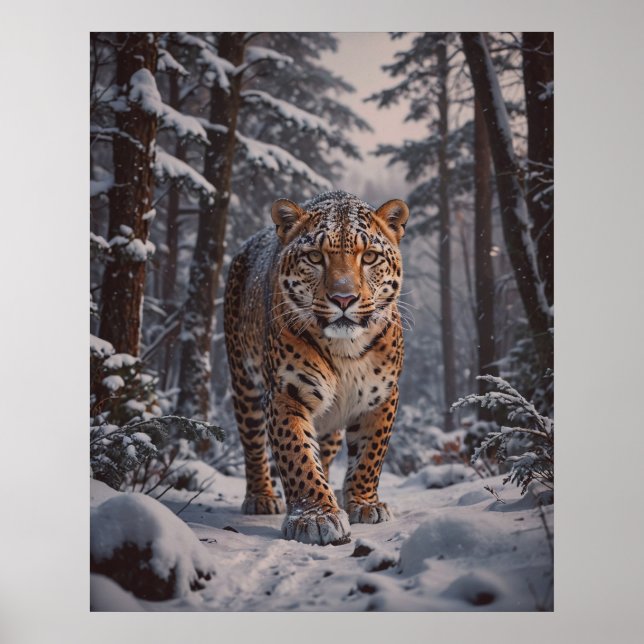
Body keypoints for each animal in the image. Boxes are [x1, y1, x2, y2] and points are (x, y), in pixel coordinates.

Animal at [223, 190, 409, 546]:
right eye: (314, 257)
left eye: (369, 257)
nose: (344, 299)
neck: (345, 351)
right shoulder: (286, 393)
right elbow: (297, 455)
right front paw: (316, 516)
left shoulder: (382, 397)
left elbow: (370, 455)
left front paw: (364, 503)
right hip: (244, 383)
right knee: (253, 442)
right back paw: (261, 497)